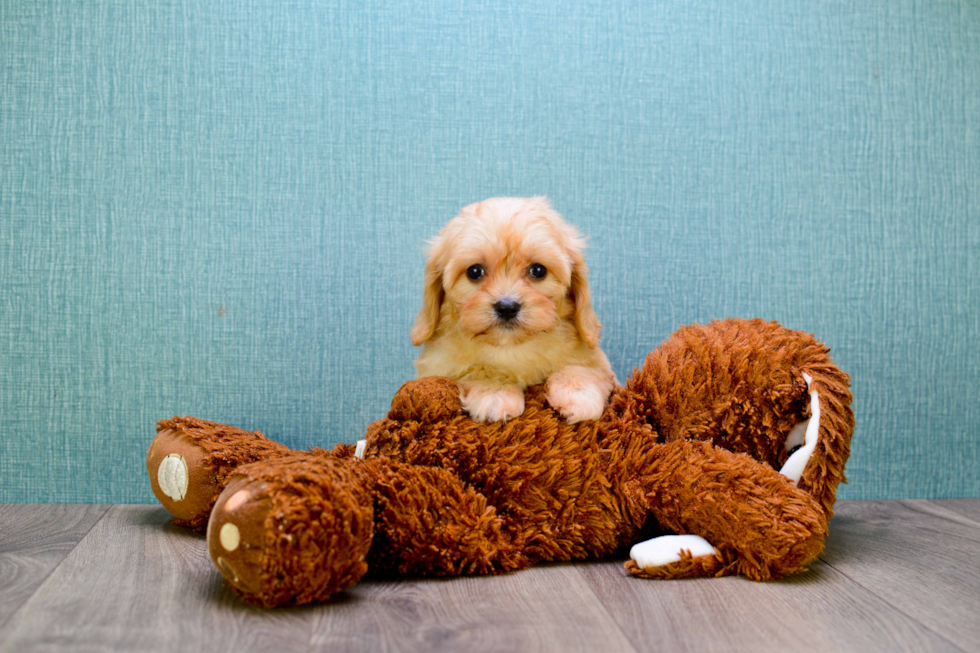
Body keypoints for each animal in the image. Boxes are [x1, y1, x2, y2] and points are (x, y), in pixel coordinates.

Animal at [410, 196, 616, 422]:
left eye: (538, 270)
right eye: (475, 271)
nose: (507, 307)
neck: (511, 347)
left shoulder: (598, 363)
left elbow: (582, 367)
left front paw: (578, 393)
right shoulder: (437, 367)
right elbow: (478, 369)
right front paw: (495, 392)